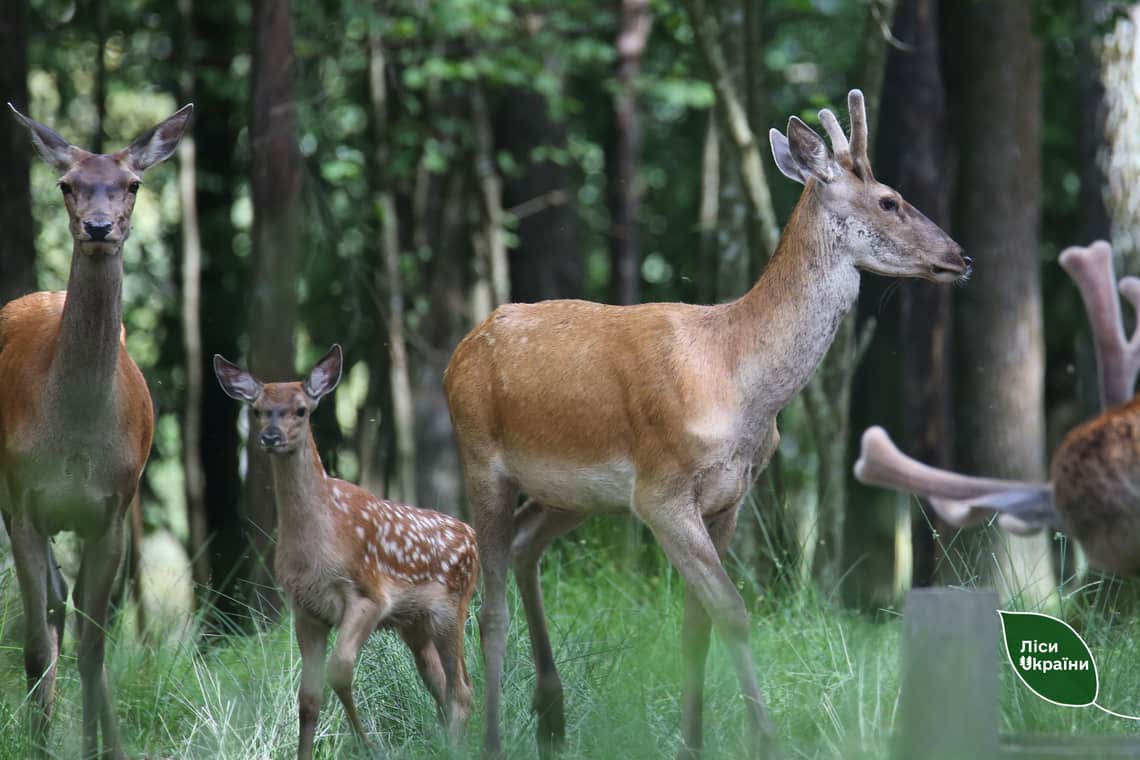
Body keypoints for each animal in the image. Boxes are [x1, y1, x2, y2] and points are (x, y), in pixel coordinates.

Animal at [0, 102, 191, 760]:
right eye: (66, 184)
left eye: (132, 184)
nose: (100, 227)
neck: (76, 442)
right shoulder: (22, 501)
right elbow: (36, 644)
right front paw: (38, 743)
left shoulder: (111, 508)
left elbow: (95, 646)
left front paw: (94, 746)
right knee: (57, 611)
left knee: (82, 618)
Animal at [213, 346, 476, 760]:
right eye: (257, 409)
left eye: (301, 409)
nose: (270, 436)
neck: (316, 545)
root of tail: (473, 535)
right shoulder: (305, 609)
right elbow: (308, 696)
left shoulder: (368, 594)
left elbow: (339, 670)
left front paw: (369, 744)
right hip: (415, 624)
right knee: (441, 684)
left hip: (451, 607)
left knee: (462, 689)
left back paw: (453, 747)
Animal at [444, 87, 971, 756]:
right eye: (889, 200)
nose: (961, 256)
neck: (740, 382)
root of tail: (461, 351)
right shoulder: (662, 491)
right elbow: (732, 611)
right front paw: (765, 737)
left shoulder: (730, 496)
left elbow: (696, 623)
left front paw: (693, 742)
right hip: (480, 454)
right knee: (490, 605)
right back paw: (490, 736)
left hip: (572, 493)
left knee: (523, 546)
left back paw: (552, 715)